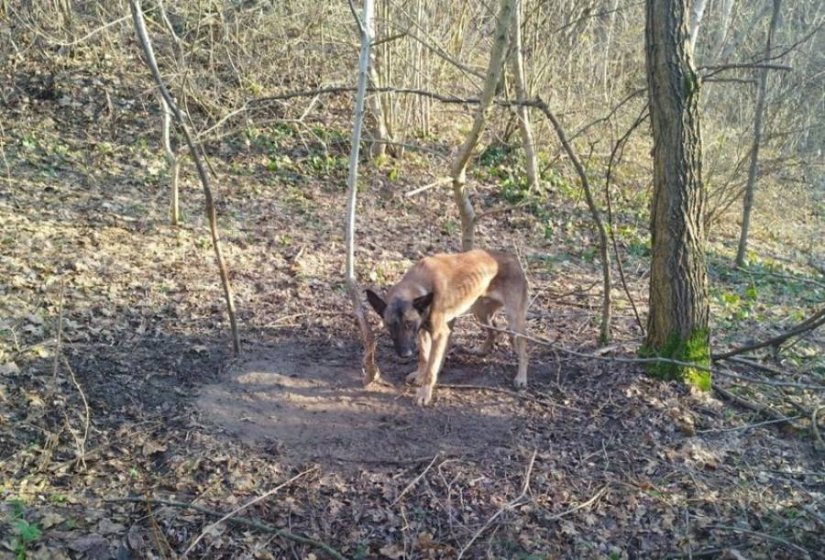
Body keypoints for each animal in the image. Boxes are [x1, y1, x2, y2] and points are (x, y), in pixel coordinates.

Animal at [366, 252, 528, 404]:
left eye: (409, 324)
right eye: (390, 325)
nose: (405, 354)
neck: (422, 283)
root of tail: (513, 258)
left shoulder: (439, 334)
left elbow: (431, 368)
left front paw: (424, 393)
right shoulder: (423, 331)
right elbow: (424, 357)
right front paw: (420, 375)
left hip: (514, 321)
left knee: (525, 348)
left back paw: (521, 377)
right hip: (480, 311)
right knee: (494, 329)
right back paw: (482, 350)